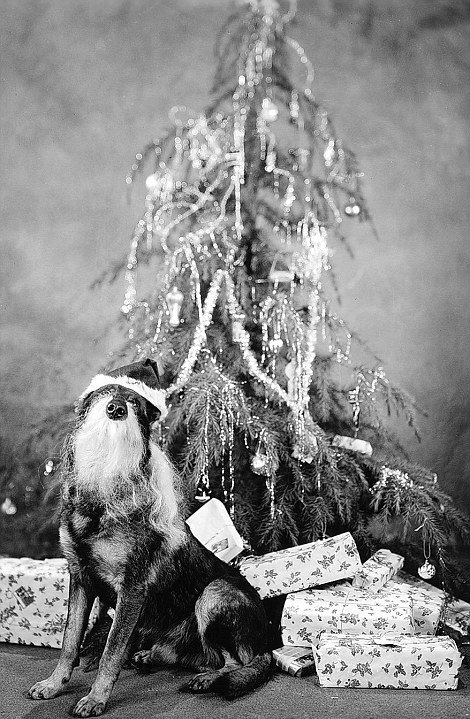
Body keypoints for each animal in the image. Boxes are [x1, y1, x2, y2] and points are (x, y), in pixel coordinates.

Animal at [28, 358, 272, 716]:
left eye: (135, 404)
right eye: (105, 392)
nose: (116, 410)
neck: (102, 495)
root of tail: (267, 640)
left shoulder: (131, 588)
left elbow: (111, 650)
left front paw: (95, 699)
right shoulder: (81, 578)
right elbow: (70, 642)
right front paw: (54, 684)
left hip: (213, 594)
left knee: (235, 661)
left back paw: (207, 679)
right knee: (202, 657)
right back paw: (153, 655)